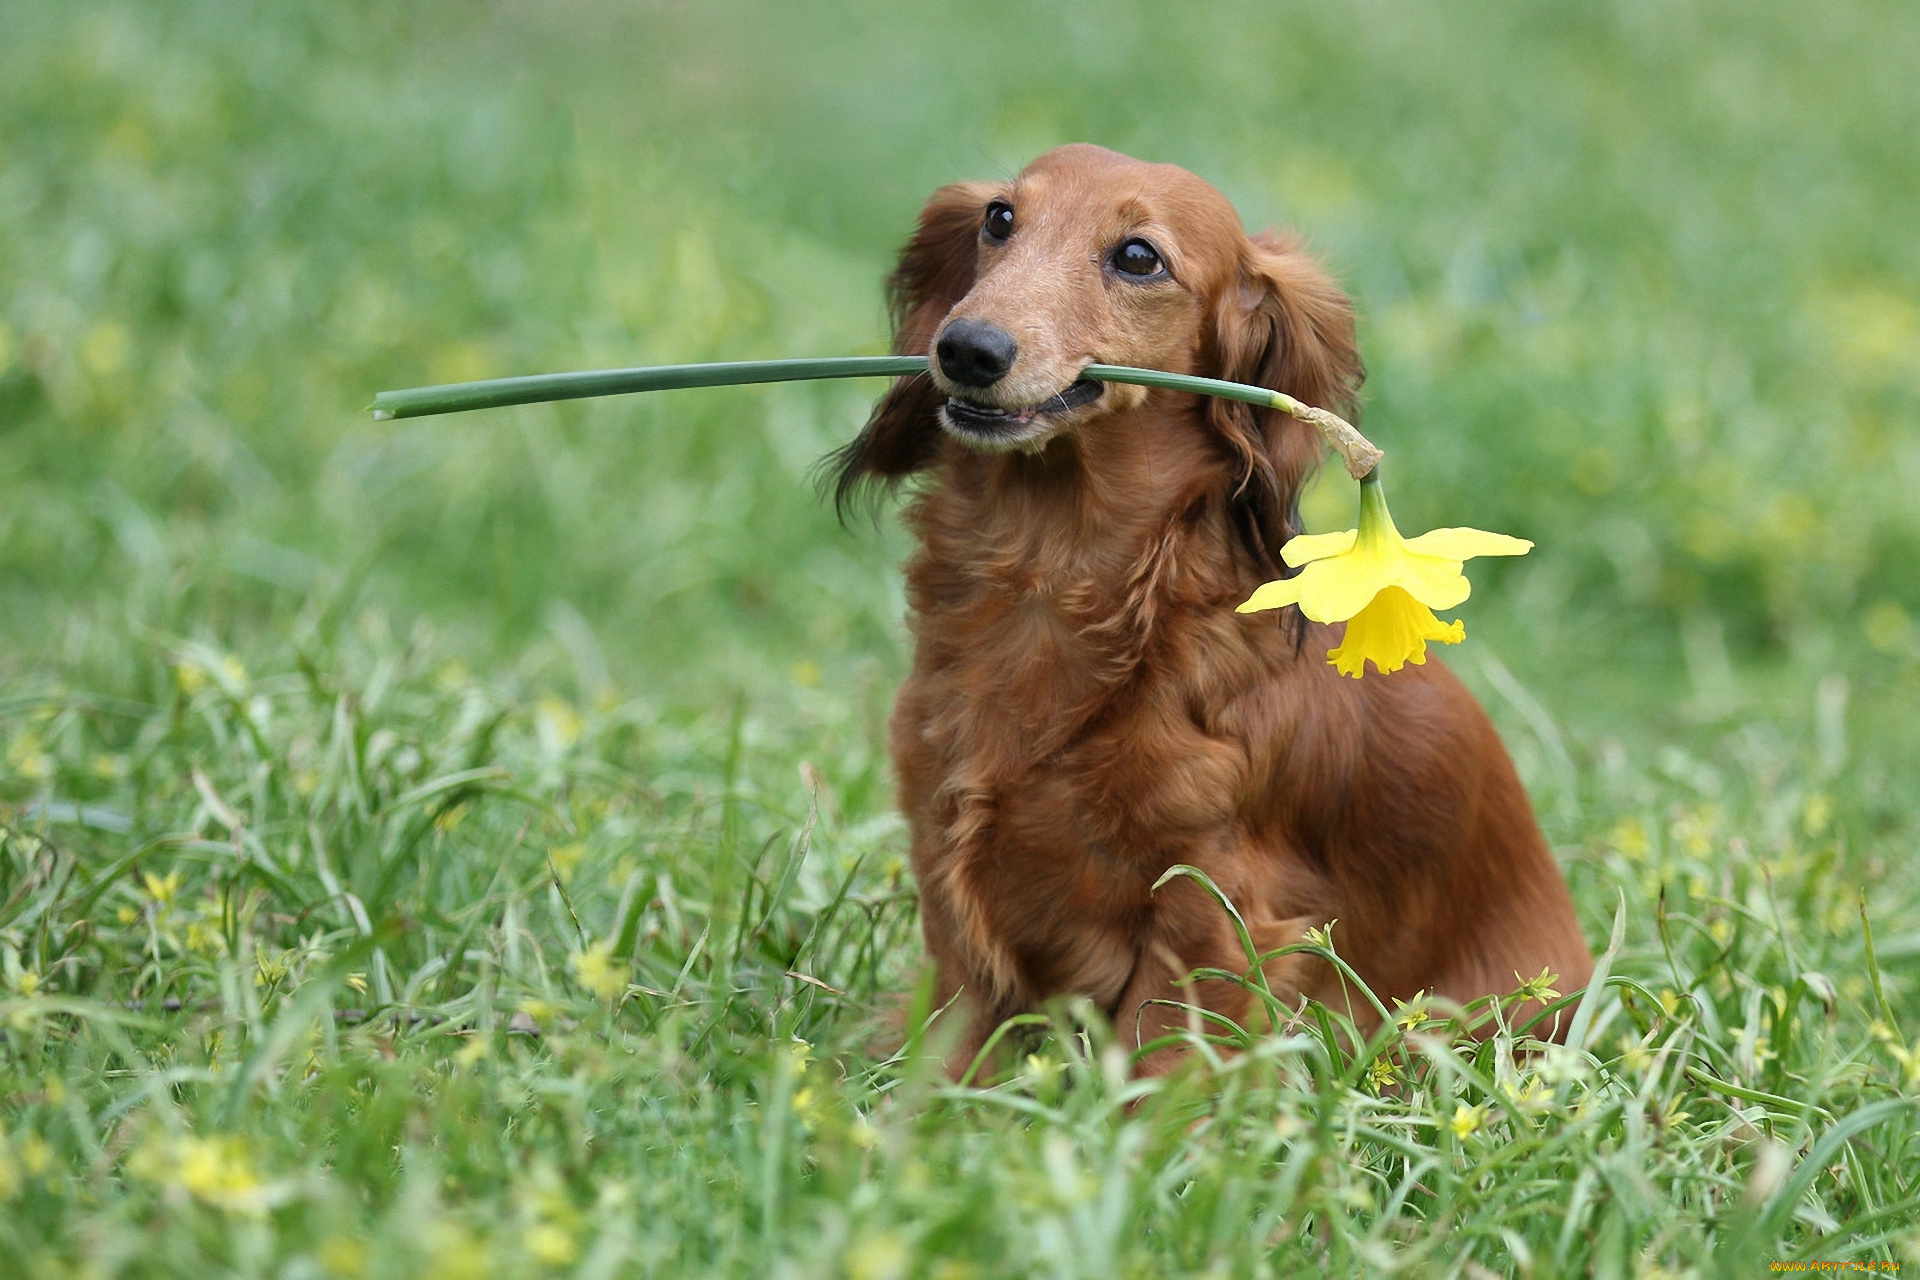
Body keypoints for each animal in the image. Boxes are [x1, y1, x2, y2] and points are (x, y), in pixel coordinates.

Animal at [825, 144, 1589, 1074]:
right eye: (999, 219)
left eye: (1138, 256)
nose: (968, 348)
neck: (1053, 575)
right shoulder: (949, 887)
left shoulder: (1210, 913)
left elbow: (1153, 1069)